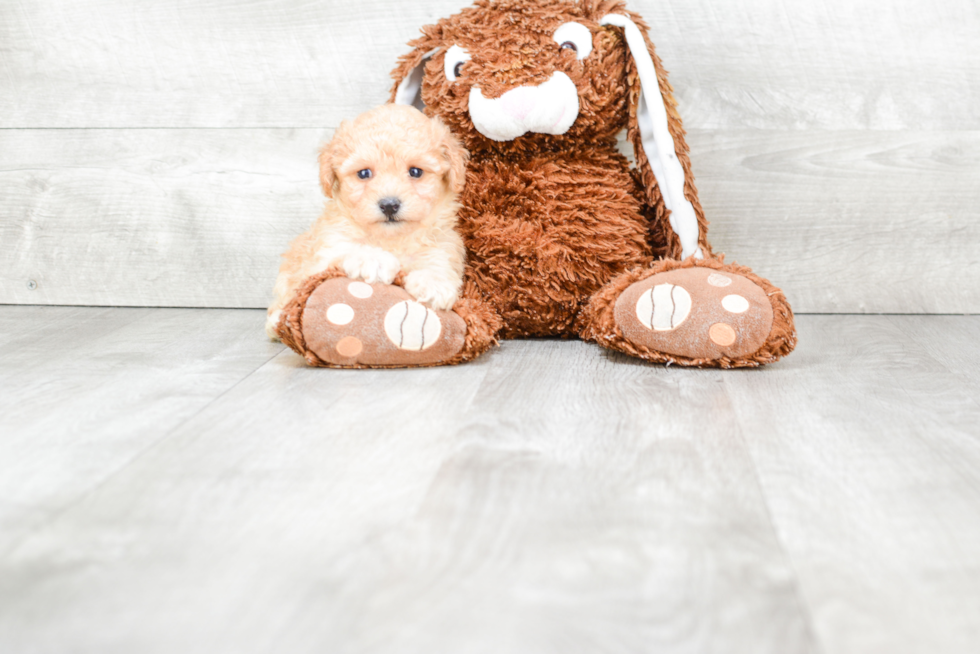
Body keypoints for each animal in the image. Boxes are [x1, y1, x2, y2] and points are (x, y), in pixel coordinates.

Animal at [266, 105, 468, 340]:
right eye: (364, 173)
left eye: (415, 172)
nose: (389, 205)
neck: (391, 239)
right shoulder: (325, 251)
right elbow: (349, 248)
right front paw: (375, 260)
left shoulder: (443, 244)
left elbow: (438, 262)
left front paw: (435, 283)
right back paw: (277, 322)